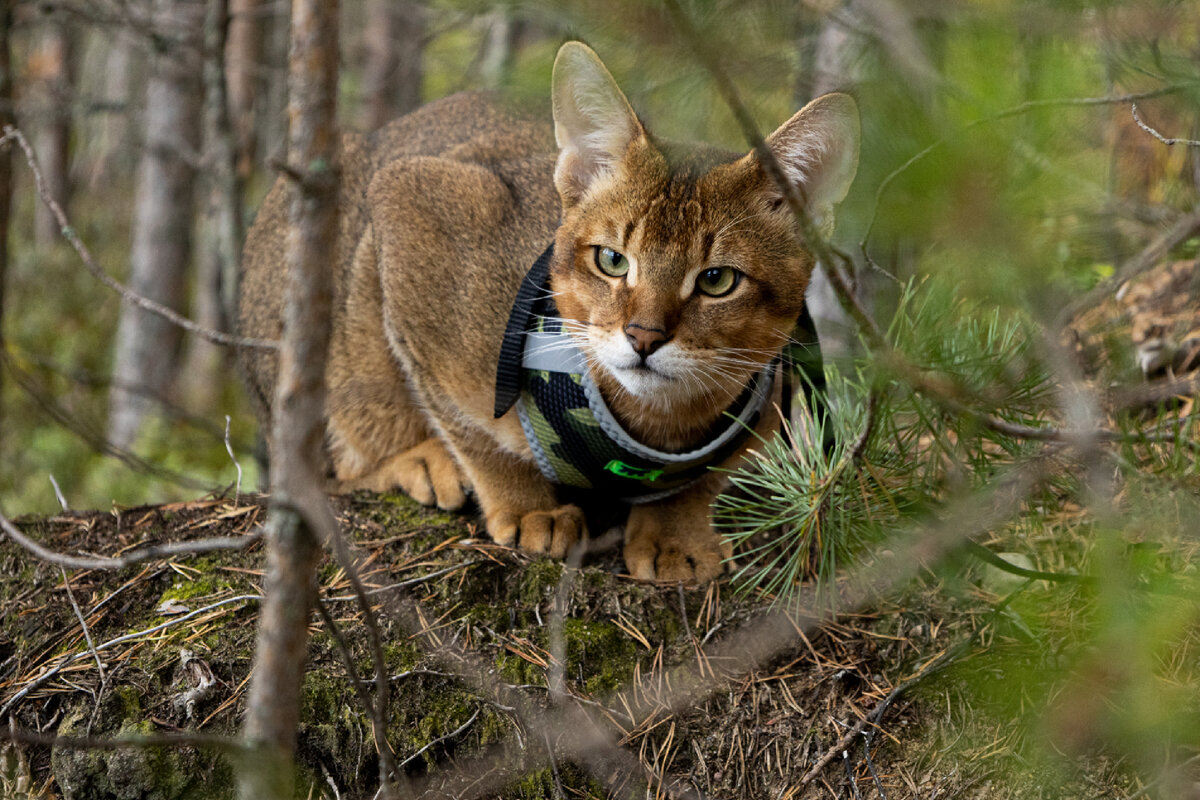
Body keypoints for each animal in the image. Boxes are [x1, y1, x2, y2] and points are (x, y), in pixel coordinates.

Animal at [238, 42, 859, 582]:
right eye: (612, 259)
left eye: (717, 280)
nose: (643, 337)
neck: (654, 427)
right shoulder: (409, 197)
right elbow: (474, 431)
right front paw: (526, 509)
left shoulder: (770, 391)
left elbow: (701, 481)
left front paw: (675, 535)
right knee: (335, 453)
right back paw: (419, 459)